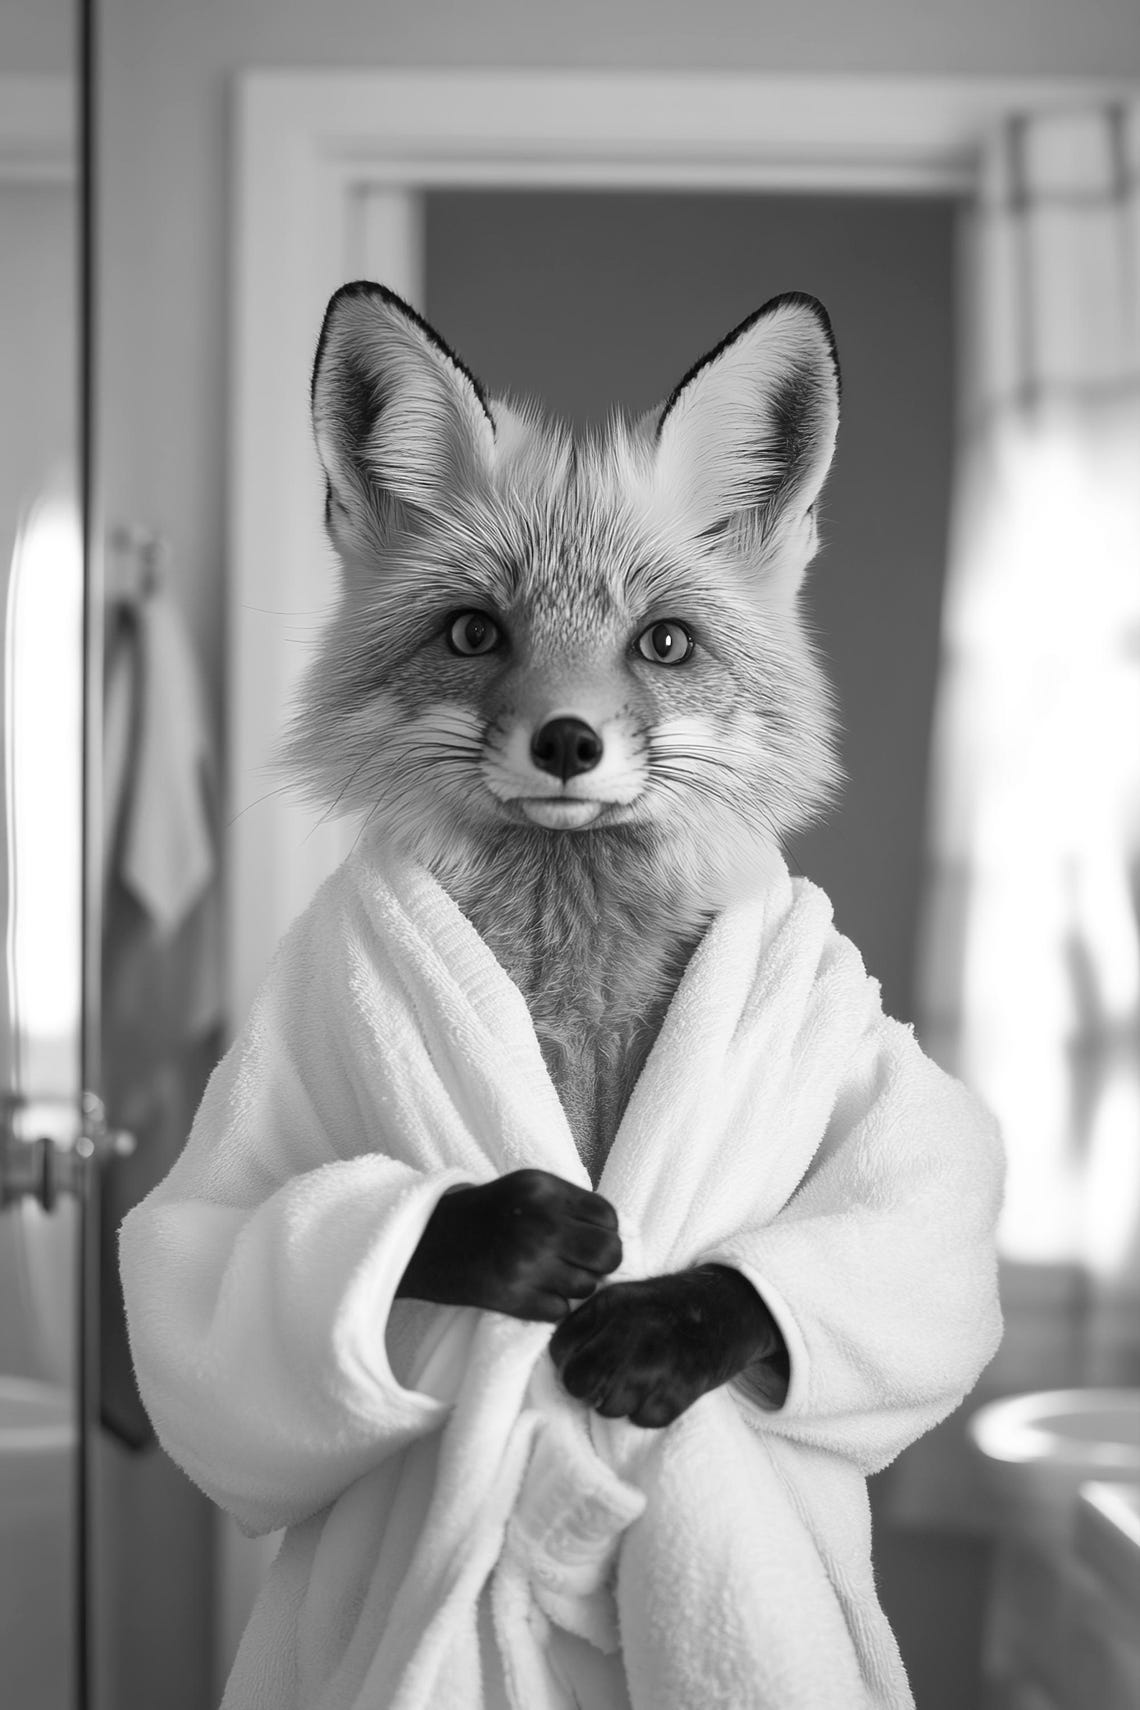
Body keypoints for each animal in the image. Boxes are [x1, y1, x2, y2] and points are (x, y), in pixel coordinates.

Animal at [289, 280, 842, 1431]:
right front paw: (513, 1231)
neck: (582, 1001)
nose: (567, 744)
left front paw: (666, 1328)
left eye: (664, 643)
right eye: (473, 634)